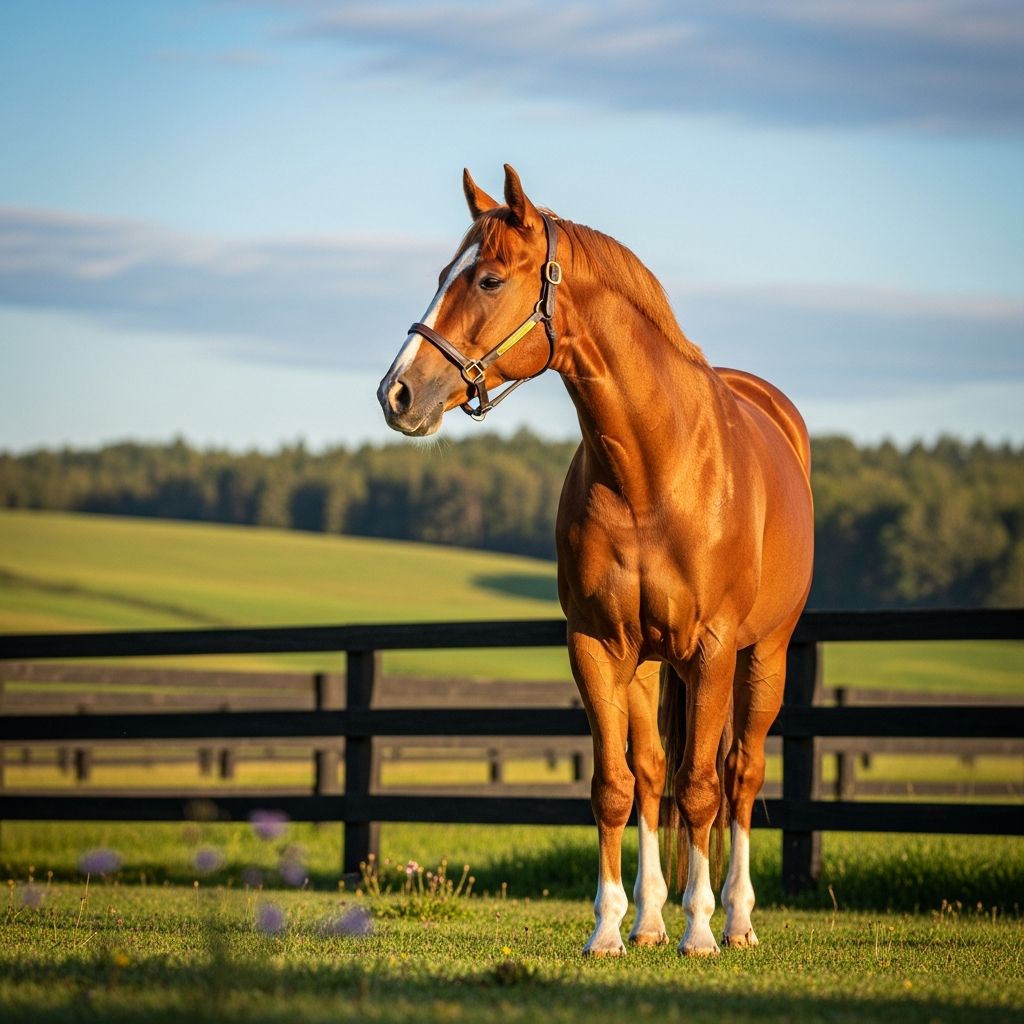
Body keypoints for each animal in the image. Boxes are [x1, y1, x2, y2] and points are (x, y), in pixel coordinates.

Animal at [377, 165, 814, 957]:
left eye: (488, 279)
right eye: (442, 276)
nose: (397, 393)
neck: (652, 469)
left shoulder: (712, 650)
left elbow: (701, 787)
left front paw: (699, 932)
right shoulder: (597, 645)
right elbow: (617, 786)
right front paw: (611, 927)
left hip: (763, 653)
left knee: (739, 773)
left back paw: (735, 920)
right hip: (649, 664)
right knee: (652, 774)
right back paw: (649, 921)